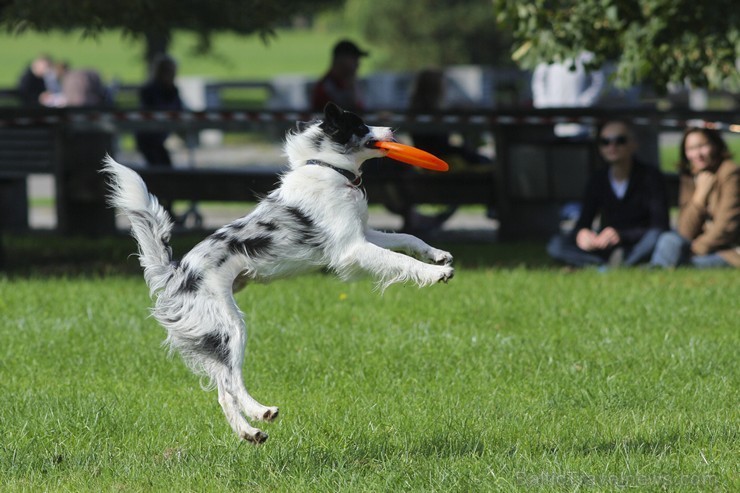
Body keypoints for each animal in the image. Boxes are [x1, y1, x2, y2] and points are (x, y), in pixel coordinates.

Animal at [102, 102, 450, 440]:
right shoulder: (352, 249)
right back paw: (260, 412)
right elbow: (400, 260)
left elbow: (407, 238)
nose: (392, 129)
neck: (329, 168)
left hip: (213, 334)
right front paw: (435, 274)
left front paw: (438, 255)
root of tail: (176, 273)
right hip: (230, 326)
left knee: (223, 392)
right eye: (361, 126)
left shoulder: (363, 234)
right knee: (232, 383)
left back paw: (250, 432)